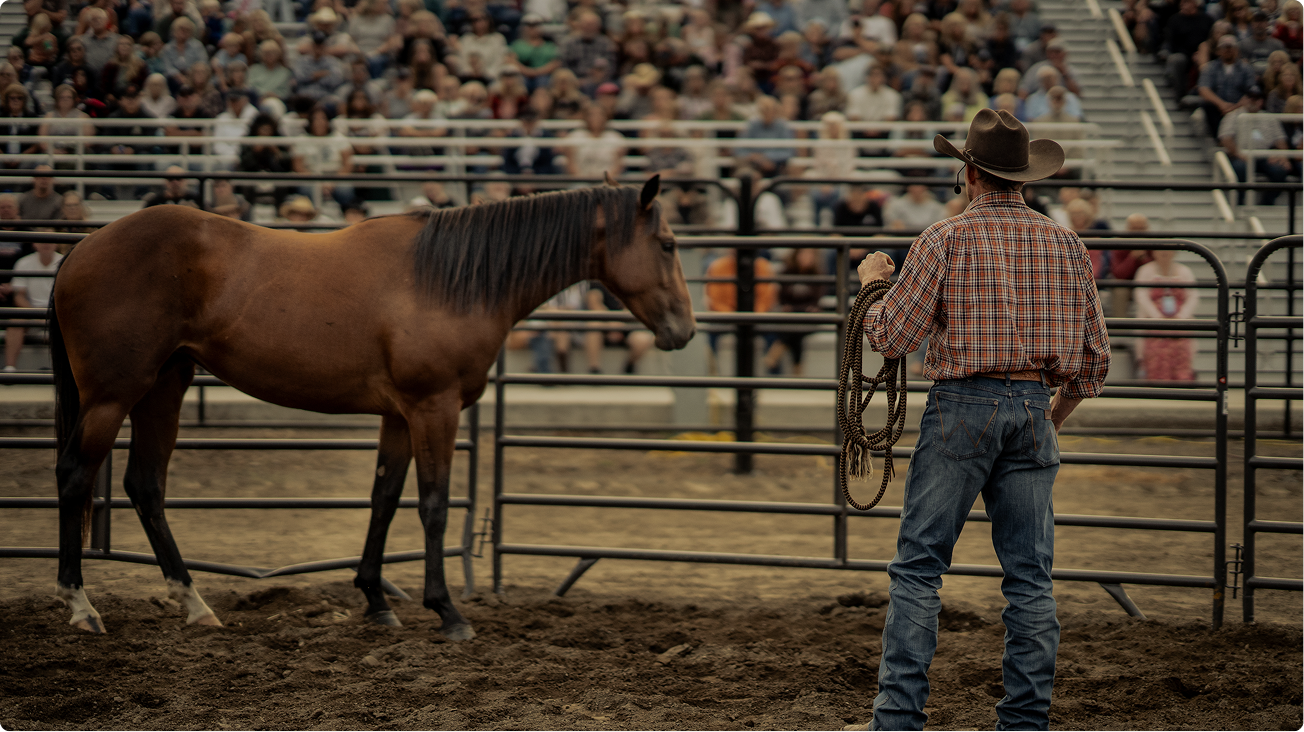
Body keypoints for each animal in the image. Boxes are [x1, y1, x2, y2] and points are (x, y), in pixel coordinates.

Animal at [47, 175, 694, 640]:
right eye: (667, 245)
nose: (684, 331)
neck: (448, 279)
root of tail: (82, 248)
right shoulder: (434, 409)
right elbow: (433, 506)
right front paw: (448, 613)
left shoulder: (399, 416)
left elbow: (383, 498)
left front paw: (377, 602)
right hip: (113, 395)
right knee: (76, 475)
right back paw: (81, 607)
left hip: (164, 387)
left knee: (145, 485)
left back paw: (195, 605)